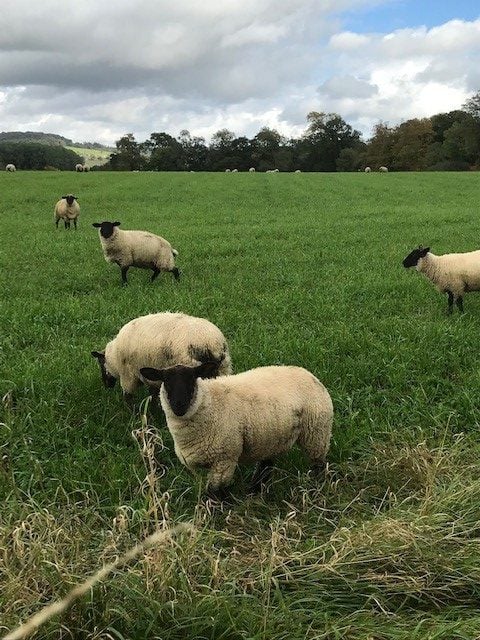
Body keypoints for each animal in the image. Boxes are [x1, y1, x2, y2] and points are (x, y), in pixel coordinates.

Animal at [91, 312, 232, 401]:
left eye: (100, 363)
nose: (106, 385)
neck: (113, 358)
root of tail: (211, 344)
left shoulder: (128, 376)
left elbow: (128, 399)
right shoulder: (152, 377)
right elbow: (153, 397)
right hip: (223, 369)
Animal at [140, 363, 333, 495]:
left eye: (192, 379)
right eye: (166, 381)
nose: (179, 405)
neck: (210, 403)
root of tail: (308, 374)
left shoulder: (224, 459)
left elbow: (214, 493)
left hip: (317, 434)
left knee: (318, 465)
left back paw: (316, 489)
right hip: (272, 436)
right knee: (266, 465)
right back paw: (254, 491)